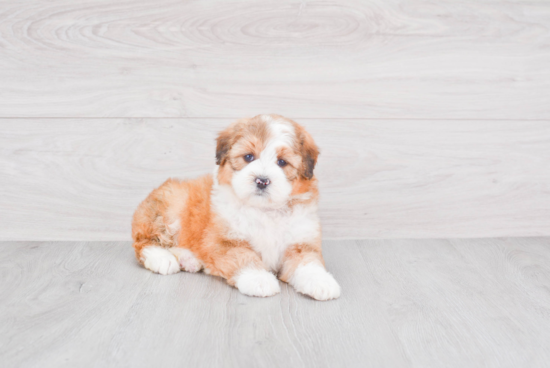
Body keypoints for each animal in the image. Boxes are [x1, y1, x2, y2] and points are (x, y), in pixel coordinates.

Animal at [134, 113, 340, 300]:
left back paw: (189, 259)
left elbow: (309, 262)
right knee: (144, 242)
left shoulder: (300, 242)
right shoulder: (226, 242)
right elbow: (244, 257)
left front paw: (321, 282)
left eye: (282, 162)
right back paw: (162, 258)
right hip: (172, 205)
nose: (262, 180)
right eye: (248, 157)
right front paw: (258, 279)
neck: (265, 210)